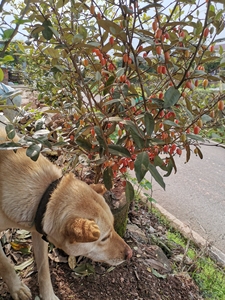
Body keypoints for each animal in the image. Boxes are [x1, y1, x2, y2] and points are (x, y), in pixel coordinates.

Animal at [0, 127, 132, 300]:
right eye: (104, 238)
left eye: (113, 227)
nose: (130, 254)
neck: (47, 195)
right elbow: (6, 265)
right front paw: (16, 288)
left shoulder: (39, 229)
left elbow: (44, 270)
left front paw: (48, 295)